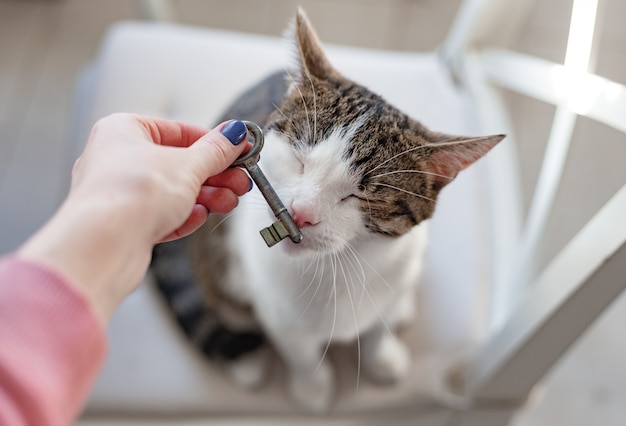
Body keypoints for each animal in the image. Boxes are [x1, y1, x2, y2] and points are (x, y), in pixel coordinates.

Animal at [150, 9, 502, 412]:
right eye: (299, 160)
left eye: (364, 196)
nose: (299, 213)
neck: (342, 267)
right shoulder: (277, 308)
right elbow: (299, 349)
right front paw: (313, 388)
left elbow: (378, 327)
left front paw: (383, 356)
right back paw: (246, 362)